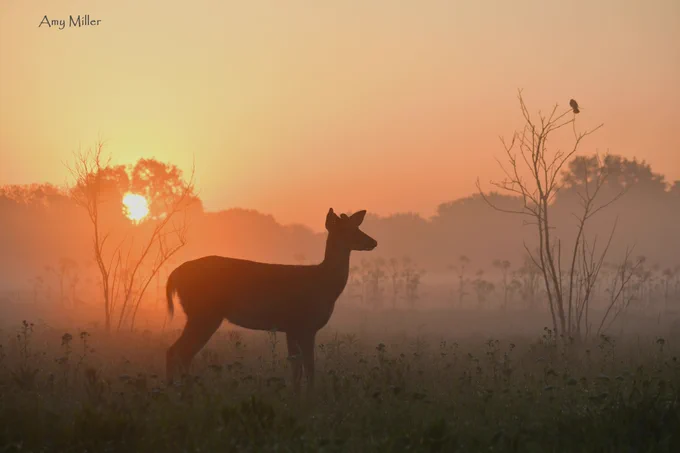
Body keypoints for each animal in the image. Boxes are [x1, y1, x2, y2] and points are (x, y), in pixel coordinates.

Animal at [165, 208, 377, 391]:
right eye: (346, 229)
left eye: (356, 226)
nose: (373, 242)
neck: (325, 285)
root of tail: (174, 276)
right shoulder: (305, 325)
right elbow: (309, 368)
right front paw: (310, 398)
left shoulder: (291, 328)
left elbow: (296, 368)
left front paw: (297, 396)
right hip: (203, 313)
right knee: (179, 351)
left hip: (199, 314)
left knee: (179, 352)